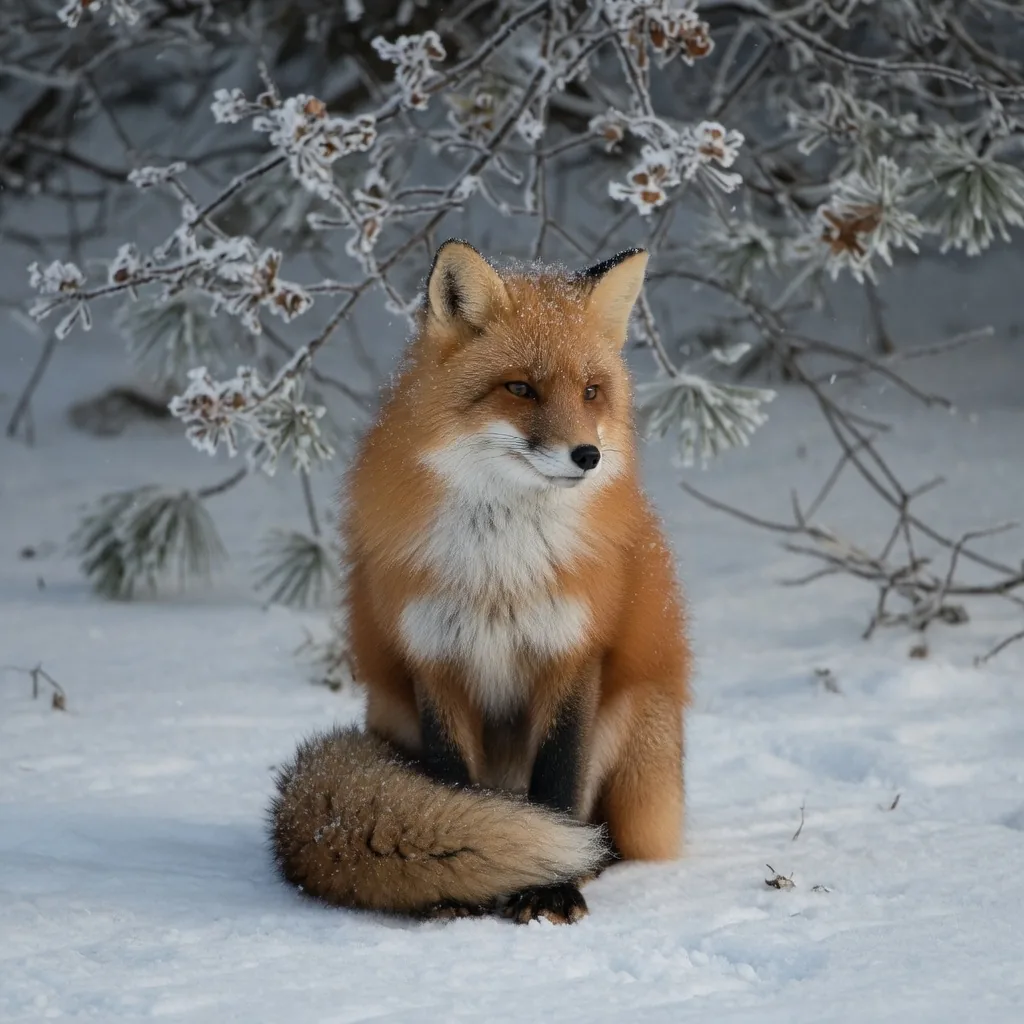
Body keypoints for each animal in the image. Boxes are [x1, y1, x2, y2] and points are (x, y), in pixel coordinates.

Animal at [269, 240, 691, 925]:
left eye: (591, 391)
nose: (588, 456)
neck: (501, 571)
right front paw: (459, 877)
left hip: (640, 731)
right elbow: (453, 788)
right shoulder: (436, 659)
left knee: (611, 836)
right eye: (520, 388)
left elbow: (557, 785)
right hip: (390, 711)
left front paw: (553, 887)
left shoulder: (570, 654)